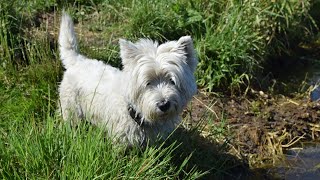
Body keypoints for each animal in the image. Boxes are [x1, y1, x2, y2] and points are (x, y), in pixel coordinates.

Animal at [57, 11, 198, 146]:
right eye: (148, 83)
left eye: (172, 81)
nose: (164, 105)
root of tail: (77, 60)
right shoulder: (120, 139)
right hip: (71, 107)